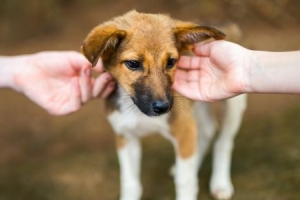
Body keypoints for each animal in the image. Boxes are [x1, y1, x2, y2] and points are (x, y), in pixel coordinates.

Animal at [81, 10, 246, 200]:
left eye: (171, 62)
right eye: (133, 64)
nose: (163, 108)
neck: (138, 111)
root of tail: (224, 22)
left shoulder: (183, 128)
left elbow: (185, 182)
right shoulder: (126, 136)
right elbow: (131, 184)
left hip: (234, 104)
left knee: (224, 141)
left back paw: (220, 183)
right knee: (207, 130)